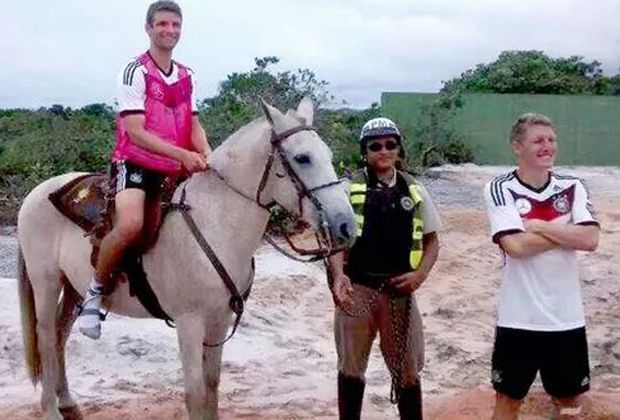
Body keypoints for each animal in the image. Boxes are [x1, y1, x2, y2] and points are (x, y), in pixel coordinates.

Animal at [17, 99, 354, 420]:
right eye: (302, 158)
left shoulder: (220, 319)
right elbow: (194, 391)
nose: (346, 225)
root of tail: (37, 192)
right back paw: (51, 410)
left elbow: (212, 383)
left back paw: (68, 403)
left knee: (60, 335)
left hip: (73, 286)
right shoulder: (189, 322)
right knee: (45, 337)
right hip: (46, 282)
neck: (214, 221)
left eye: (328, 154)